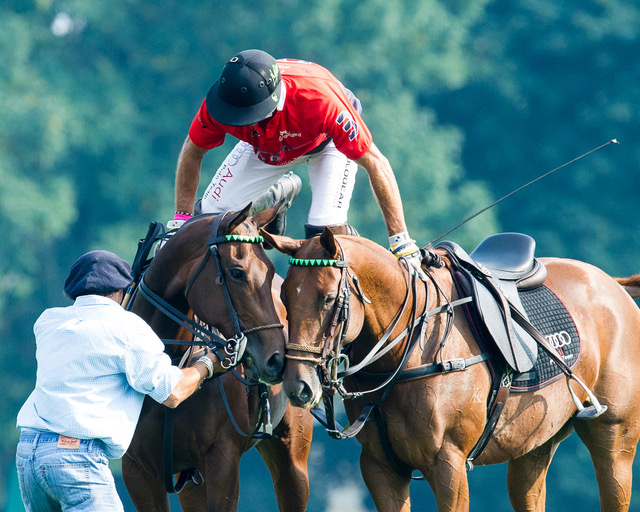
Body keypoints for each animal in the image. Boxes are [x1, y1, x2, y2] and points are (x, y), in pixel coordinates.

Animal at [122, 205, 313, 512]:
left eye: (270, 271)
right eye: (237, 273)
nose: (276, 360)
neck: (170, 362)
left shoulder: (222, 460)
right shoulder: (137, 468)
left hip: (292, 454)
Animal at [263, 227, 640, 512]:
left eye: (328, 298)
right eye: (283, 295)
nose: (298, 385)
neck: (406, 349)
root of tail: (614, 284)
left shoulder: (449, 464)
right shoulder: (380, 467)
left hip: (616, 441)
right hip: (533, 447)